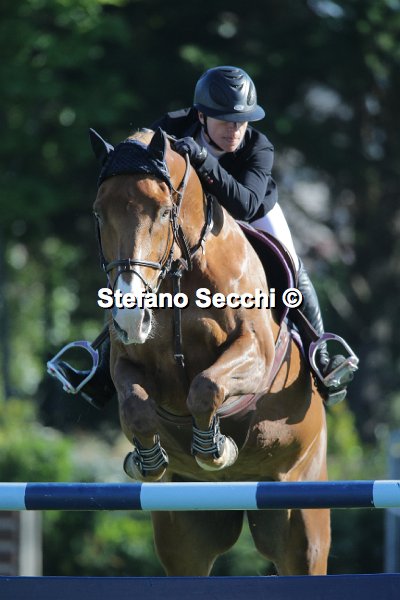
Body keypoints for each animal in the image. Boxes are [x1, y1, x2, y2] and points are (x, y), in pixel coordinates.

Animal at [90, 127, 330, 576]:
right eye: (99, 213)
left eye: (164, 212)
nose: (130, 315)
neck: (180, 276)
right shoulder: (126, 361)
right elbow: (136, 405)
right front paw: (150, 459)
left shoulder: (254, 353)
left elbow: (205, 386)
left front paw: (214, 449)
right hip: (186, 535)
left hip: (301, 519)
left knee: (303, 555)